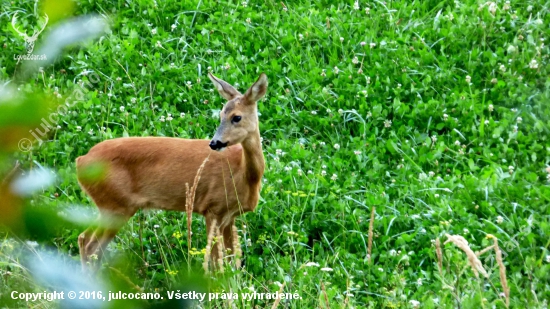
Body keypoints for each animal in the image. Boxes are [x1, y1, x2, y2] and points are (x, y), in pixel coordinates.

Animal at [76, 72, 268, 270]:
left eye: (236, 117)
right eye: (221, 114)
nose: (215, 143)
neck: (244, 175)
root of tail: (80, 161)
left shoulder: (229, 216)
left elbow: (233, 261)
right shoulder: (212, 208)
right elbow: (217, 262)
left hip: (110, 206)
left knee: (85, 239)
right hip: (115, 204)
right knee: (90, 244)